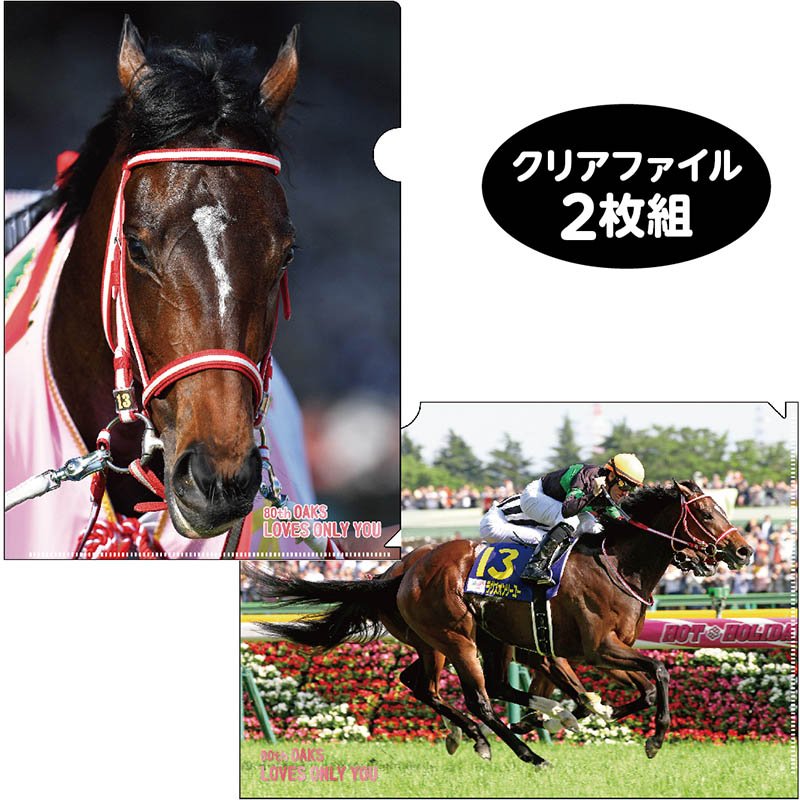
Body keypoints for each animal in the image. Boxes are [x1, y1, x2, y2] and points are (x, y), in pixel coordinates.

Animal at [250, 481, 752, 766]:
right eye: (706, 513)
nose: (744, 550)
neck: (617, 562)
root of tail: (404, 569)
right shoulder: (594, 648)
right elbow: (658, 672)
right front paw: (653, 738)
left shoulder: (597, 651)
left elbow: (636, 689)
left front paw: (584, 716)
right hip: (457, 639)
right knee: (481, 700)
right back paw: (522, 751)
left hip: (461, 641)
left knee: (432, 684)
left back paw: (486, 734)